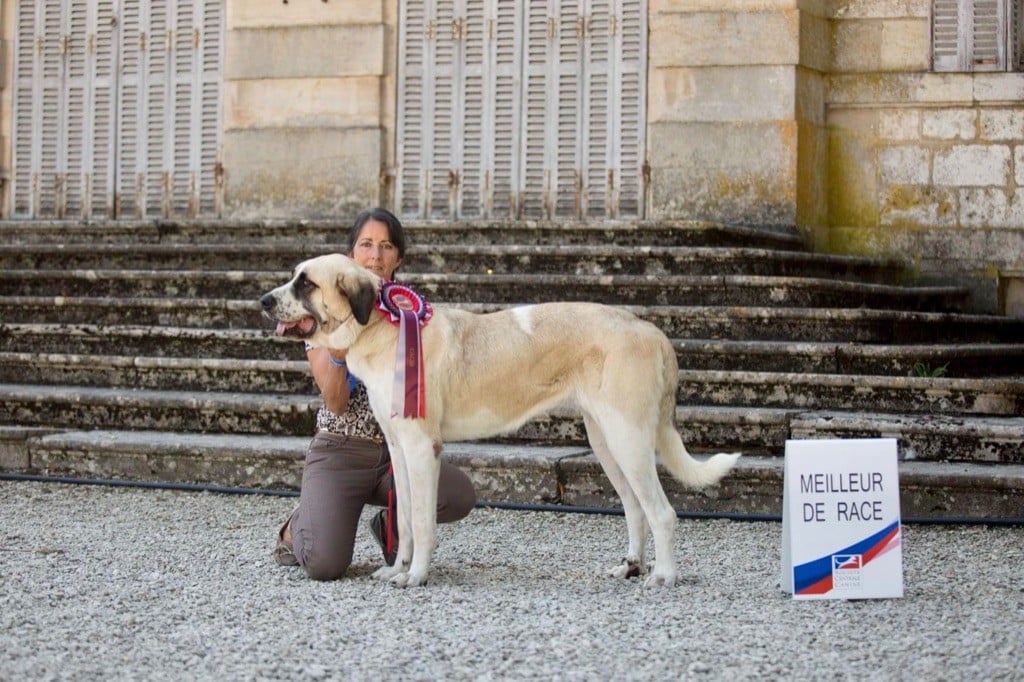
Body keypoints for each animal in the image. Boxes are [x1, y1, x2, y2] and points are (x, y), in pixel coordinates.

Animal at [260, 251, 741, 585]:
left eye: (306, 283)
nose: (263, 300)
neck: (385, 326)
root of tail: (652, 330)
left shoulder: (421, 448)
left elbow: (422, 520)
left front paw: (415, 576)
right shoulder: (397, 449)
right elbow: (406, 519)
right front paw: (398, 569)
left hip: (629, 439)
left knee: (662, 511)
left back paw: (664, 576)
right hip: (606, 442)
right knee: (635, 508)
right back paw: (631, 567)